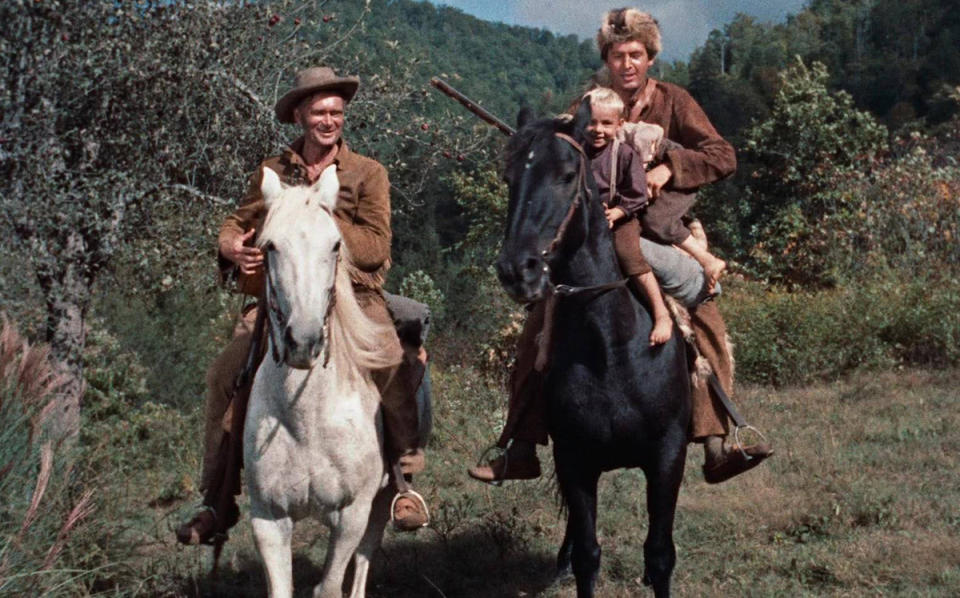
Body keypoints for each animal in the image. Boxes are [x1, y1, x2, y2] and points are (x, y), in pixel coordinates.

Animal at [246, 165, 404, 598]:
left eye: (335, 245)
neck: (306, 420)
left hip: (380, 501)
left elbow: (330, 587)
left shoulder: (352, 515)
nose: (303, 341)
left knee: (365, 559)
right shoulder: (267, 520)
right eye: (269, 247)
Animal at [498, 101, 692, 596]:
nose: (517, 269)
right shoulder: (575, 460)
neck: (612, 351)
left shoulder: (668, 457)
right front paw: (572, 561)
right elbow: (588, 555)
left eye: (568, 174)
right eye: (509, 176)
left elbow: (660, 556)